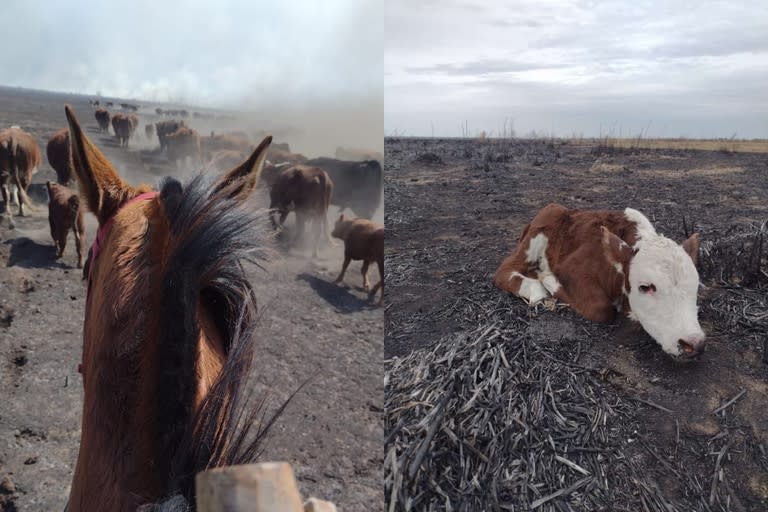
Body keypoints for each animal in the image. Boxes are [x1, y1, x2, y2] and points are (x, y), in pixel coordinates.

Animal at [496, 202, 704, 358]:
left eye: (695, 287)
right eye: (645, 287)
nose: (693, 343)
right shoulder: (570, 268)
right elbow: (601, 309)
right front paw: (548, 278)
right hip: (539, 231)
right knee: (504, 270)